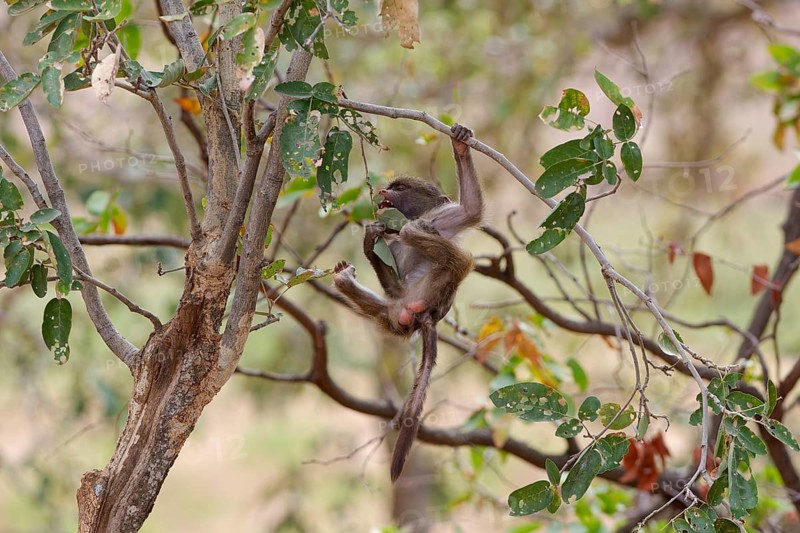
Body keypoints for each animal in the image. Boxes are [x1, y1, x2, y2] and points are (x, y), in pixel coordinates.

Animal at [333, 123, 483, 482]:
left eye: (400, 188)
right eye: (390, 187)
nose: (381, 192)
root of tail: (423, 313)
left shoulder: (443, 221)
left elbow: (470, 210)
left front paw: (460, 141)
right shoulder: (391, 248)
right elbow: (390, 274)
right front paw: (369, 238)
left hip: (436, 288)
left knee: (457, 260)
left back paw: (414, 233)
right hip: (394, 310)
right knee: (387, 298)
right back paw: (346, 280)